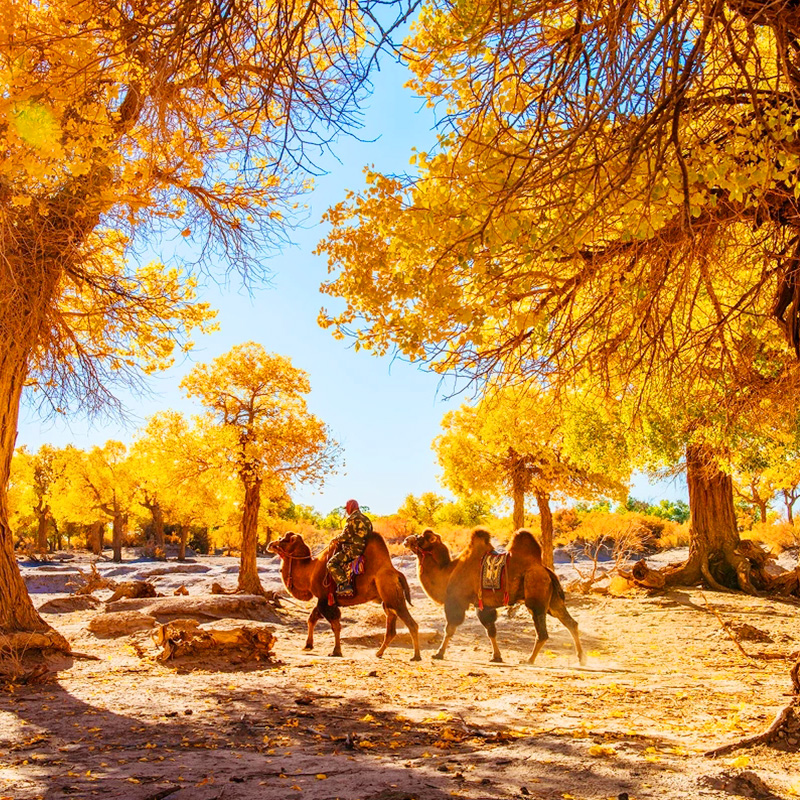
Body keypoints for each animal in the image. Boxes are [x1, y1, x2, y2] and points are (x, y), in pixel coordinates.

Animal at [268, 532, 422, 664]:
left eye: (282, 539)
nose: (270, 544)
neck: (310, 571)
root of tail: (397, 574)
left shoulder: (325, 599)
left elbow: (335, 626)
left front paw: (336, 651)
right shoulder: (325, 600)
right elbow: (312, 619)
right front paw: (308, 645)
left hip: (393, 596)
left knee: (411, 624)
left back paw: (416, 656)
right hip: (388, 601)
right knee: (391, 628)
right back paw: (379, 653)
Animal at [404, 528, 584, 664]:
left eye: (422, 538)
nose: (406, 539)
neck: (448, 572)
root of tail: (546, 571)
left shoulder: (456, 601)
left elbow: (450, 628)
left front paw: (438, 654)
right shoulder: (484, 605)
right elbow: (491, 630)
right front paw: (496, 656)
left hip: (536, 595)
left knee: (543, 632)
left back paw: (529, 660)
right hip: (553, 601)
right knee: (571, 623)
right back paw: (581, 658)